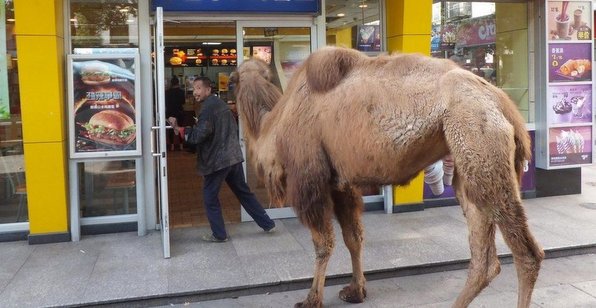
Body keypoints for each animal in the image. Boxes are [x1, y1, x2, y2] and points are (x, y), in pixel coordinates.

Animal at [229, 46, 544, 308]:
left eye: (231, 81)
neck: (274, 125)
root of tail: (503, 103)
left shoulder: (310, 182)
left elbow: (323, 245)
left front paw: (311, 299)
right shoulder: (341, 184)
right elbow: (353, 238)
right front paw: (355, 291)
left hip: (479, 143)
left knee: (527, 252)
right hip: (469, 163)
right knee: (484, 257)